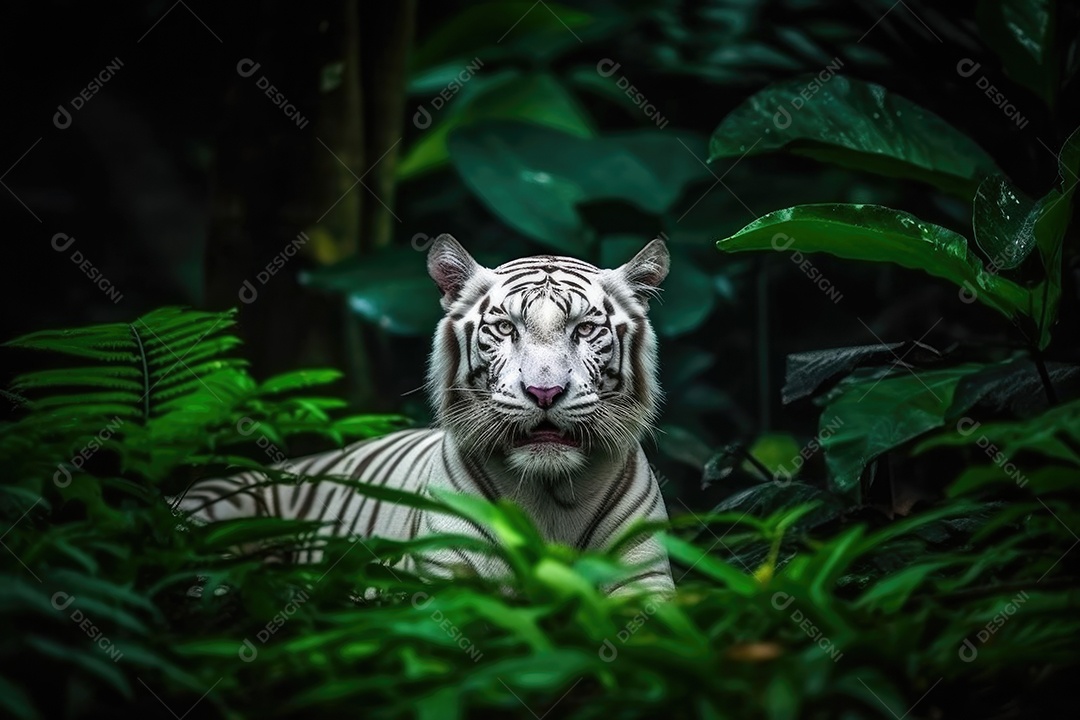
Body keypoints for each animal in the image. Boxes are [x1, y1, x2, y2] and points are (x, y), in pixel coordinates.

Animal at [176, 235, 675, 596]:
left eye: (585, 329)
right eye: (504, 328)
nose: (544, 392)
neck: (548, 492)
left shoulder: (647, 581)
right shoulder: (437, 578)